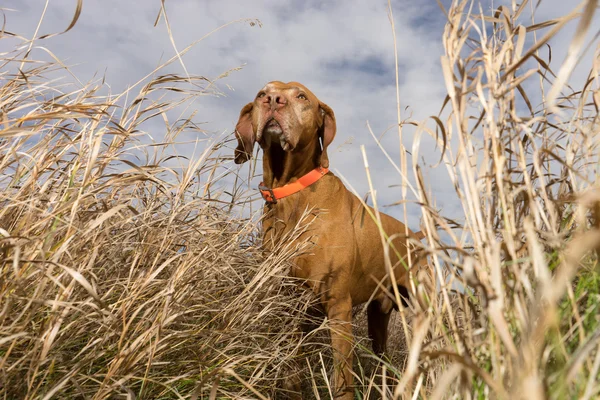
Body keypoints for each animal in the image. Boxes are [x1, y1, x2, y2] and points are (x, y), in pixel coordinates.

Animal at [232, 80, 424, 396]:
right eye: (261, 94)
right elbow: (292, 372)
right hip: (378, 317)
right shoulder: (288, 304)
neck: (292, 193)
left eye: (301, 96)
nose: (273, 100)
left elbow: (342, 379)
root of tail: (418, 237)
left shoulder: (338, 305)